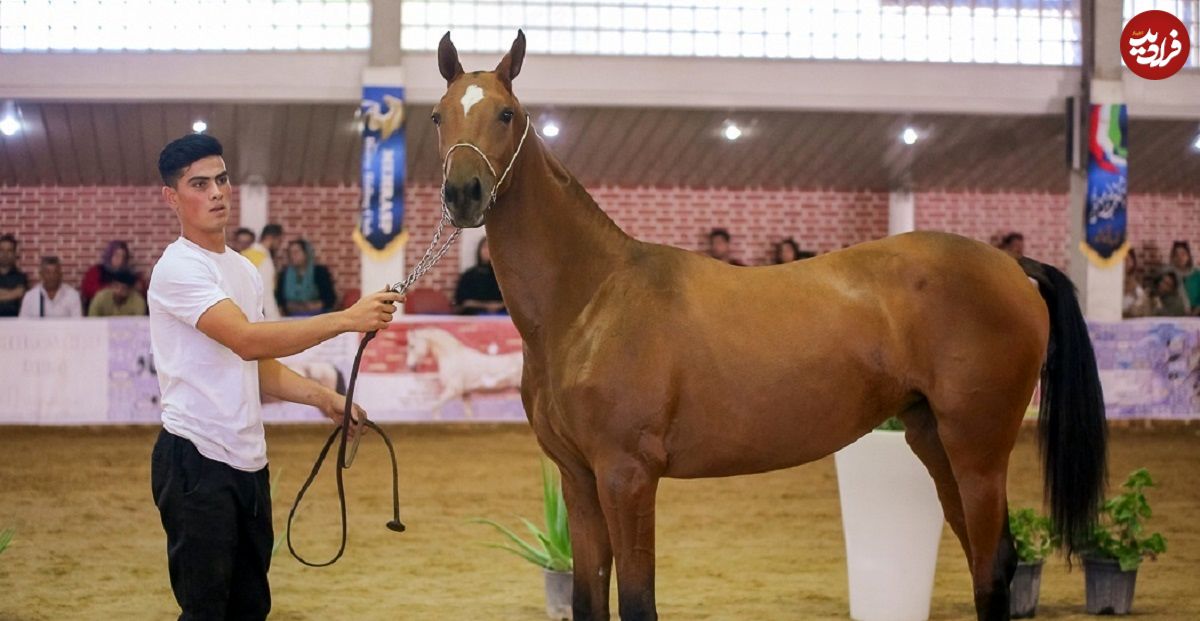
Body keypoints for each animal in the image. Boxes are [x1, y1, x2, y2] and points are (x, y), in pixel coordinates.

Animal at [429, 32, 1104, 621]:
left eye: (507, 114)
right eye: (439, 116)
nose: (463, 193)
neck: (591, 300)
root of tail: (1011, 265)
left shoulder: (627, 477)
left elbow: (639, 604)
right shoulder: (580, 481)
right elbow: (588, 602)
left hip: (978, 450)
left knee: (993, 568)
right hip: (935, 441)